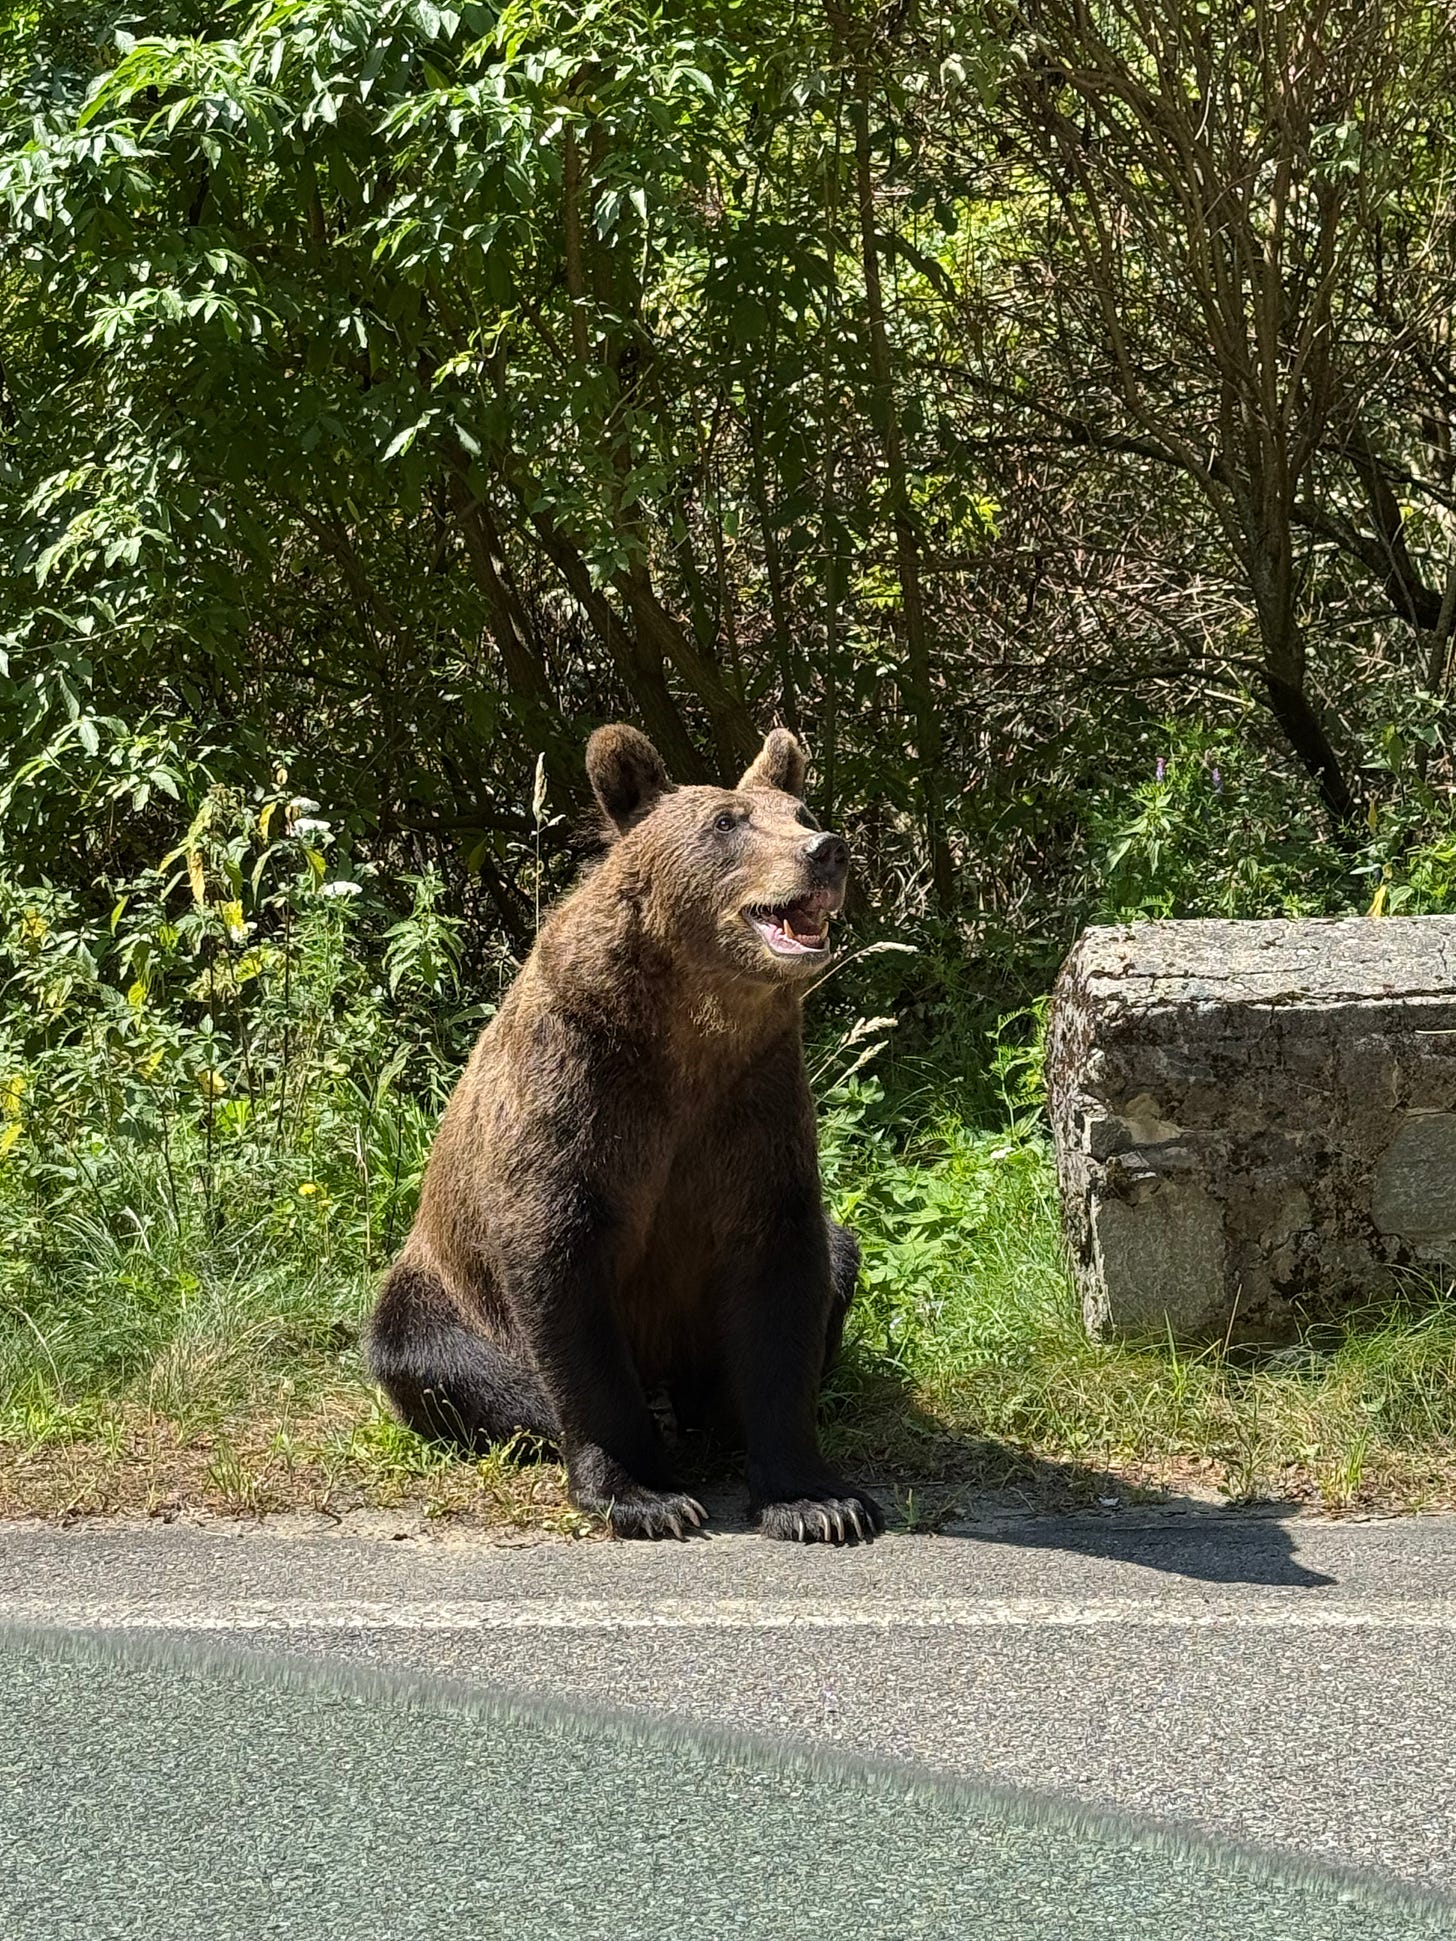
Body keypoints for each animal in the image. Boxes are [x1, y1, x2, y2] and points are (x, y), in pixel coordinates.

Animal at [365, 722, 885, 1544]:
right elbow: (564, 1277)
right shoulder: (581, 1092)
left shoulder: (755, 1105)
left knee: (839, 1255)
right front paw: (644, 1493)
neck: (692, 1027)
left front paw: (816, 1500)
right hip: (439, 1296)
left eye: (801, 811)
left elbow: (784, 1277)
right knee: (440, 1356)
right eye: (728, 821)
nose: (826, 849)